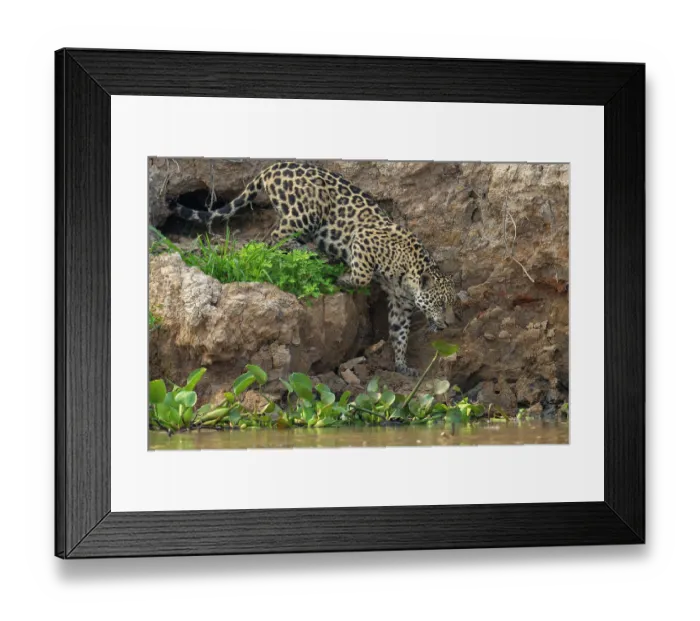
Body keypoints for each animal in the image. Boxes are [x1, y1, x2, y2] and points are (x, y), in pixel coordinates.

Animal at [170, 161, 458, 376]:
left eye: (449, 304)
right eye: (440, 304)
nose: (448, 324)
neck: (409, 275)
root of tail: (275, 166)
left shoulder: (400, 303)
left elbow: (400, 332)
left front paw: (401, 364)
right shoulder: (363, 240)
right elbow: (362, 276)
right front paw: (344, 278)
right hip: (305, 213)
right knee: (273, 238)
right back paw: (309, 252)